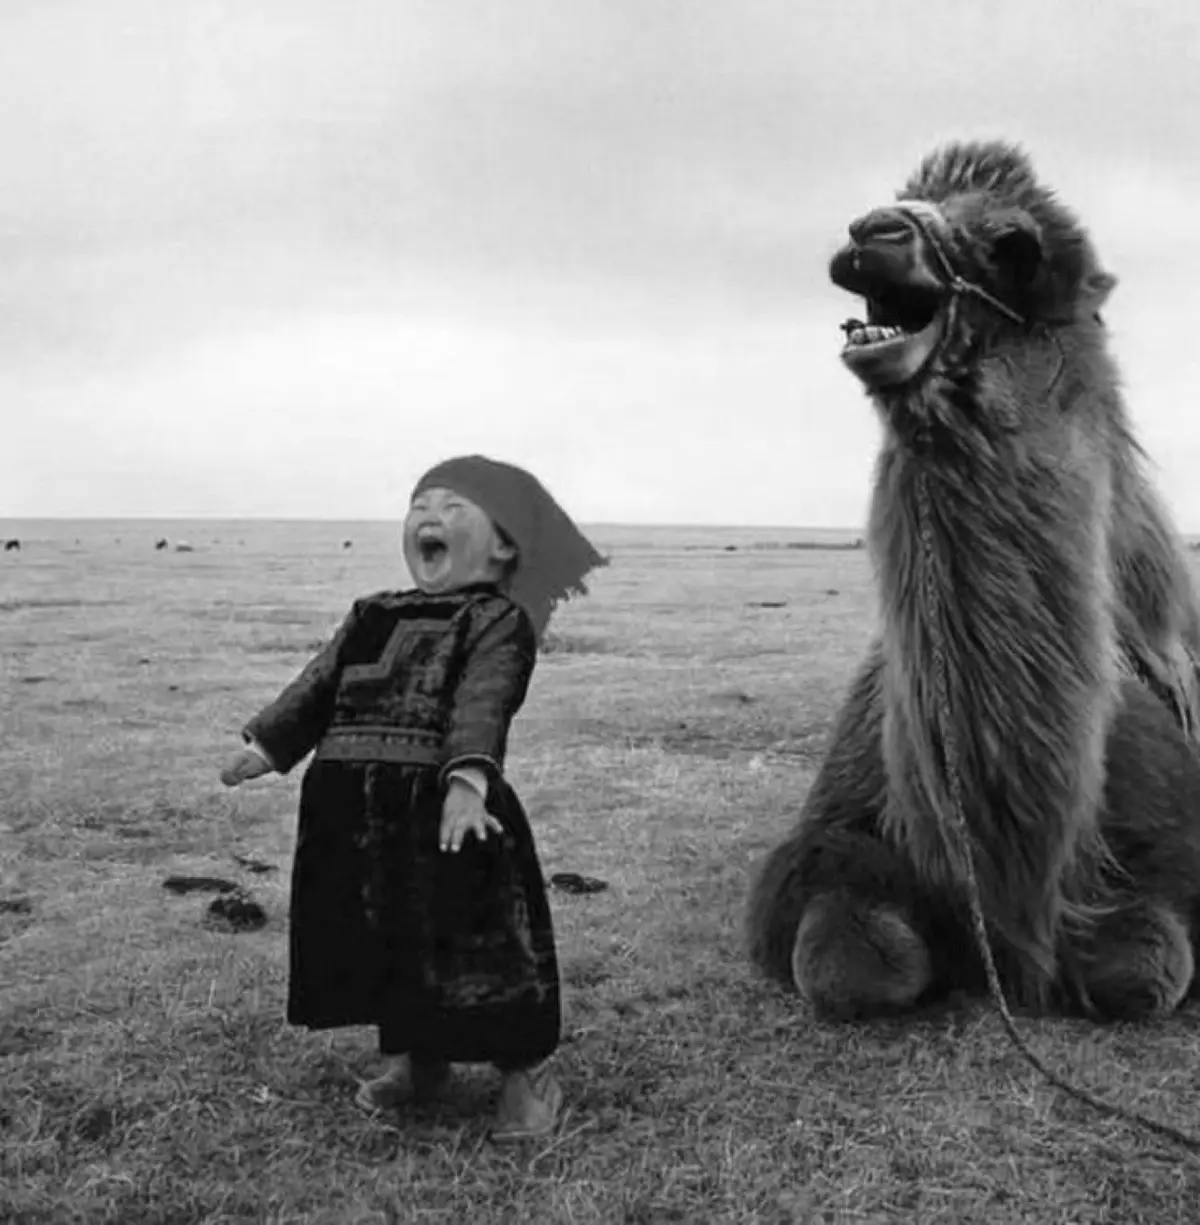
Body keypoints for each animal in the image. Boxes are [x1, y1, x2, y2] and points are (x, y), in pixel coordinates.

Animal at [747, 141, 1200, 1022]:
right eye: (901, 198)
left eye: (1015, 247)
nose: (870, 233)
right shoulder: (829, 838)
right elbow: (849, 962)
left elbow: (1145, 968)